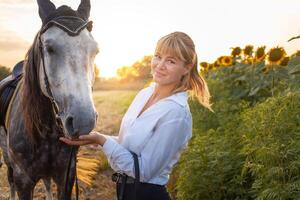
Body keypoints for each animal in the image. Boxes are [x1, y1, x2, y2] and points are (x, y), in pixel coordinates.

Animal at [0, 0, 99, 199]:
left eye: (95, 51)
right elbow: (16, 181)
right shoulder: (23, 181)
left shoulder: (66, 176)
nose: (83, 121)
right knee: (10, 178)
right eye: (49, 48)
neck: (46, 132)